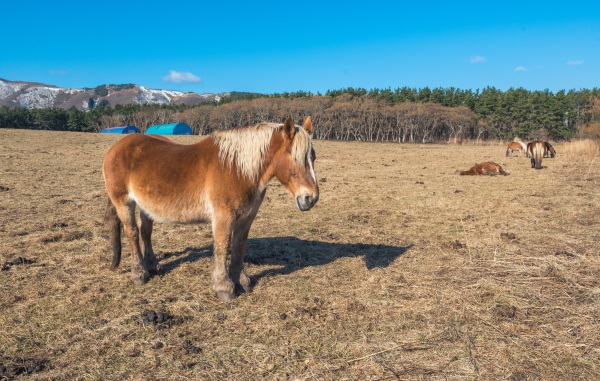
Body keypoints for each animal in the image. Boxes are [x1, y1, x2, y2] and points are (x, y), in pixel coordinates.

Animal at [103, 116, 318, 300]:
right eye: (295, 157)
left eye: (313, 158)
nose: (311, 198)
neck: (237, 168)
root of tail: (115, 148)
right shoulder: (223, 216)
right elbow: (223, 247)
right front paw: (224, 287)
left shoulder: (246, 217)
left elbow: (238, 246)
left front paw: (241, 280)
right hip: (124, 202)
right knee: (132, 233)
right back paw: (139, 273)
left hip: (145, 206)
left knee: (146, 232)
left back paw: (152, 265)